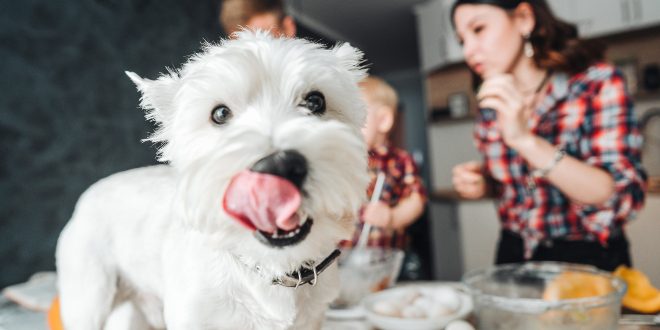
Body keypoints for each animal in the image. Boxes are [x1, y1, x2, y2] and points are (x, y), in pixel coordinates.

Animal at [54, 29, 368, 328]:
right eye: (219, 114)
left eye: (316, 101)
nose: (279, 166)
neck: (269, 267)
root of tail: (88, 194)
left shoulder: (313, 318)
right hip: (89, 297)